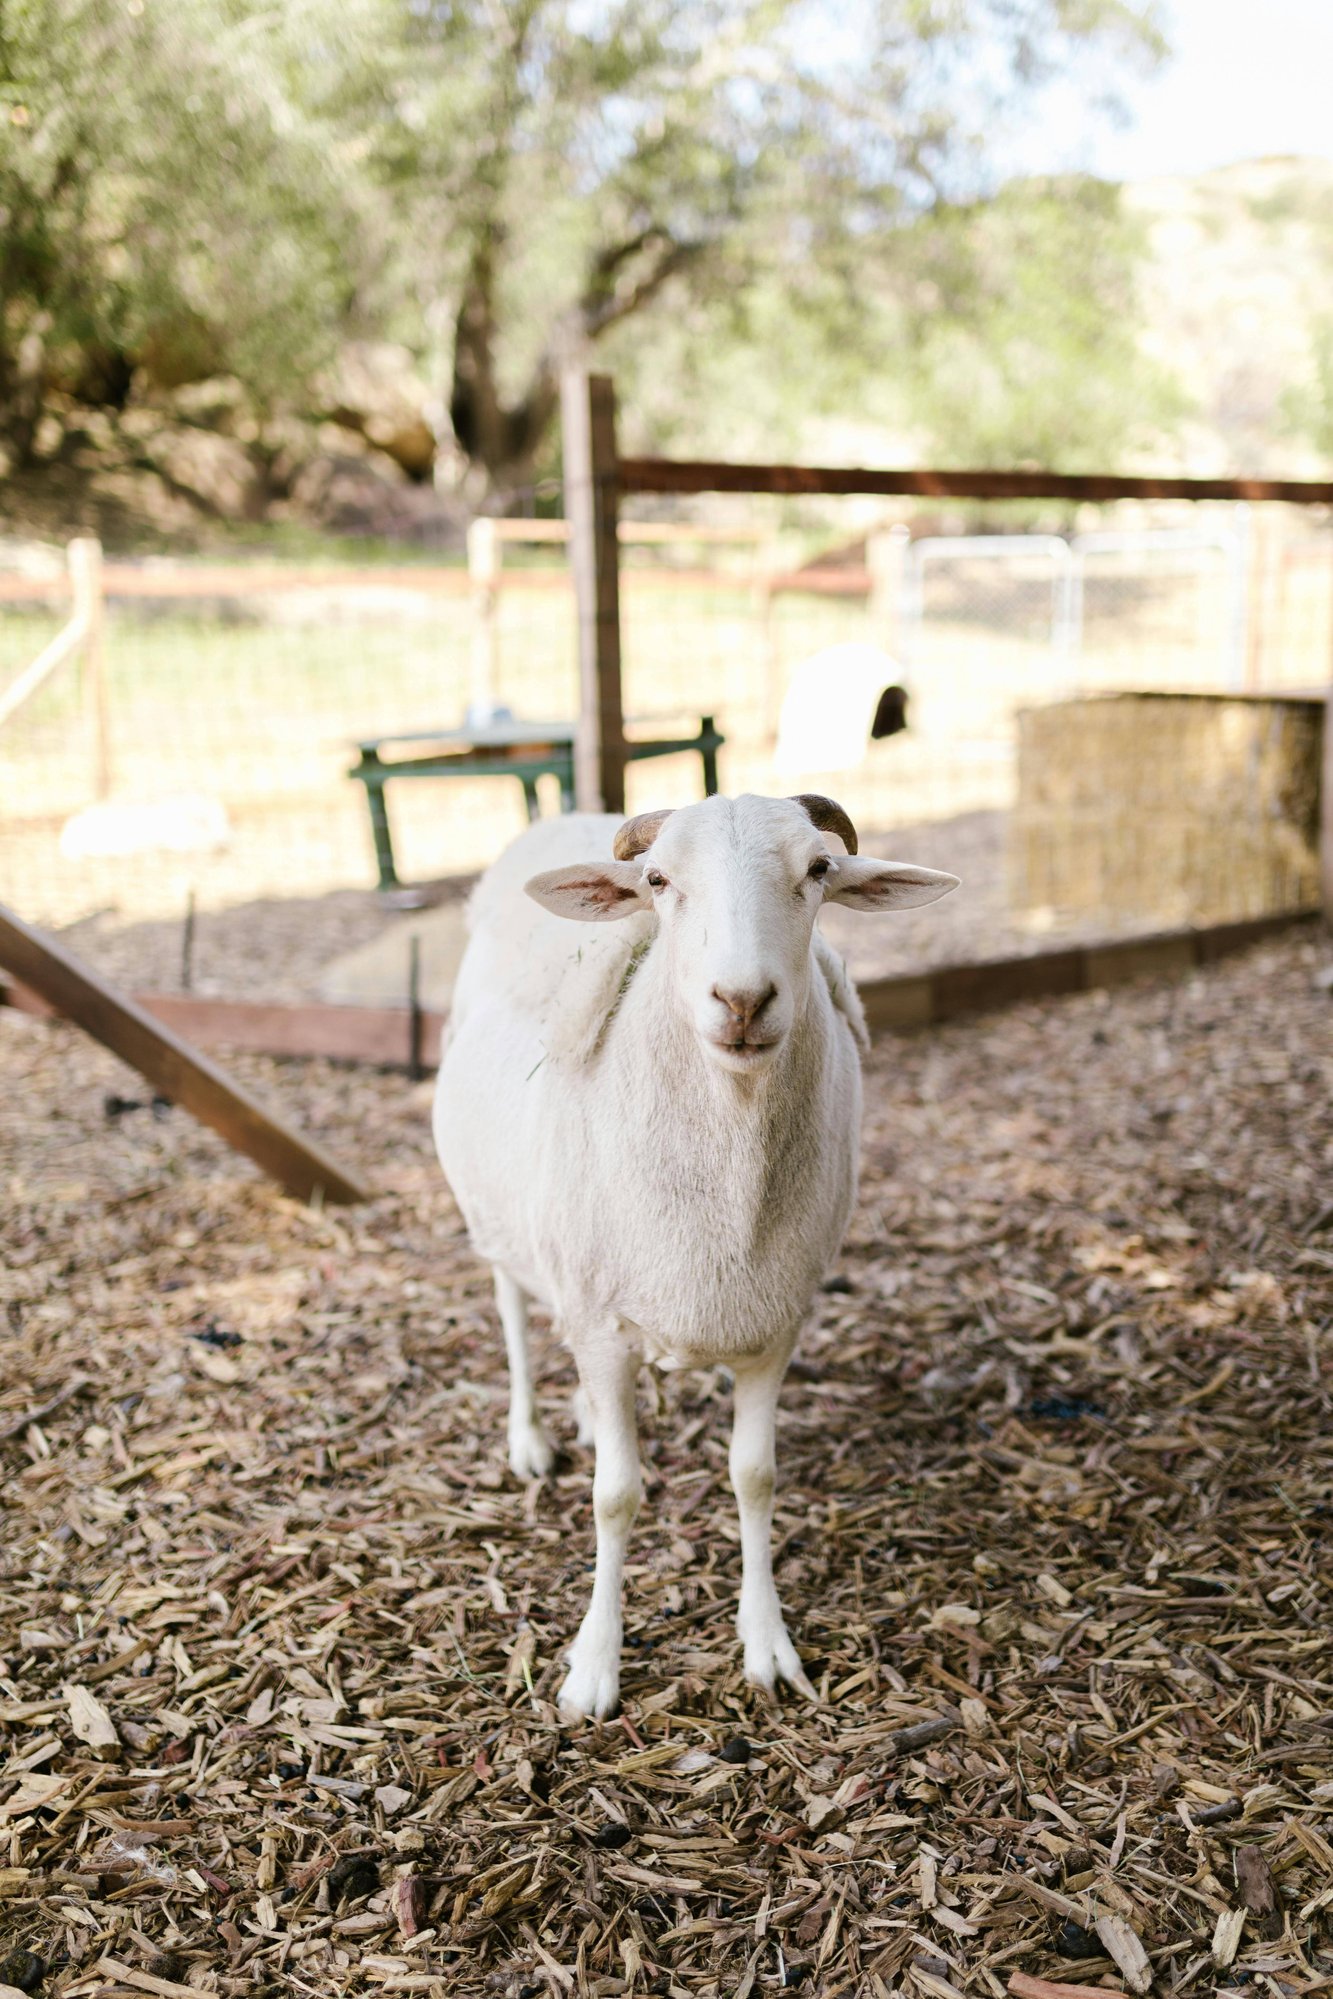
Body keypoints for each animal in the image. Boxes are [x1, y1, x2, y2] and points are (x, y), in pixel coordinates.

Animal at [437, 795, 959, 1719]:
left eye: (819, 869)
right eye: (656, 880)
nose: (742, 999)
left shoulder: (774, 1321)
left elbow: (753, 1476)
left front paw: (766, 1642)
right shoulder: (603, 1326)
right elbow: (614, 1495)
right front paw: (593, 1663)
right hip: (500, 1208)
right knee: (511, 1307)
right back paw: (530, 1433)